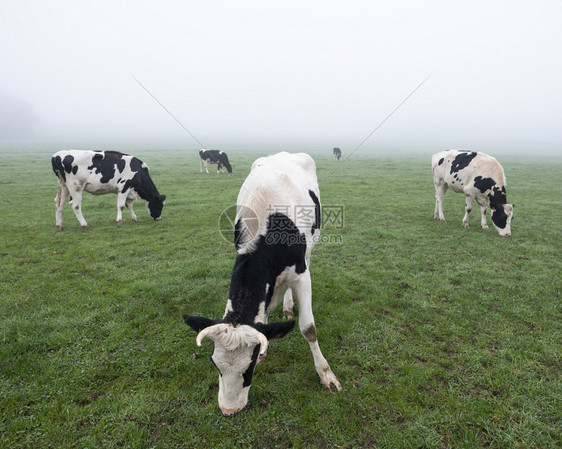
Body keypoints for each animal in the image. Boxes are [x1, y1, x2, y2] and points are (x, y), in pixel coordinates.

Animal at [184, 151, 342, 416]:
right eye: (215, 364)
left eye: (248, 368)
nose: (229, 410)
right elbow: (263, 316)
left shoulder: (302, 274)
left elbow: (308, 328)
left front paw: (326, 374)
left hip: (312, 245)